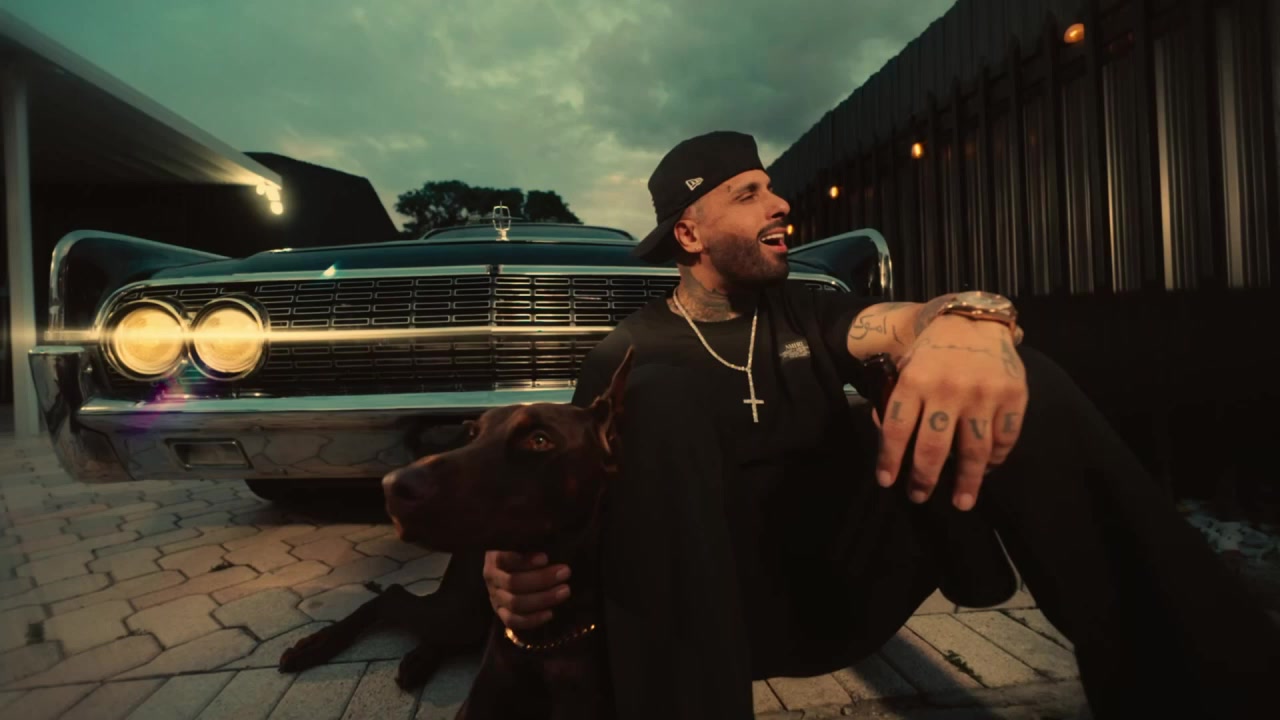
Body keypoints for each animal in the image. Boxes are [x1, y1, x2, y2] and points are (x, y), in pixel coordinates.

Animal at [278, 347, 634, 719]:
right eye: (473, 433)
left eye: (539, 439)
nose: (391, 487)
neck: (543, 639)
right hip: (461, 610)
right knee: (391, 596)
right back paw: (317, 644)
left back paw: (419, 658)